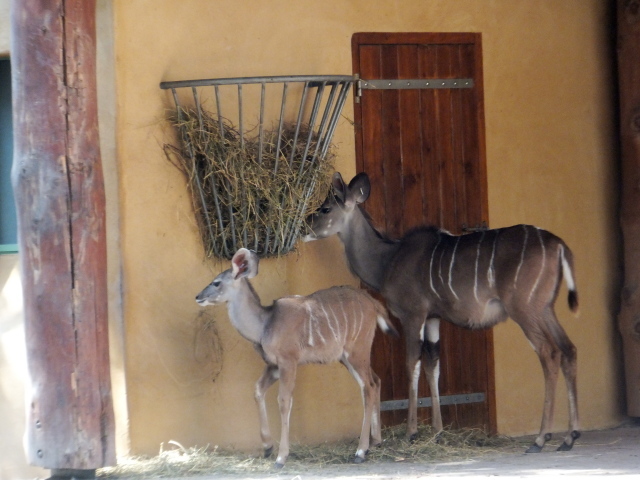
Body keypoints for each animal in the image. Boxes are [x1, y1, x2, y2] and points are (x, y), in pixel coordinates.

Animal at [195, 249, 398, 466]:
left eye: (216, 282)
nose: (198, 296)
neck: (265, 325)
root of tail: (373, 303)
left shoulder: (288, 361)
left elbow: (284, 401)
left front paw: (281, 457)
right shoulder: (273, 365)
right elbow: (258, 390)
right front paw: (267, 447)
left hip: (357, 352)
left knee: (368, 387)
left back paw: (360, 451)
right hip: (348, 358)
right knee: (376, 381)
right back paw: (375, 442)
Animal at [304, 172, 580, 454]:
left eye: (325, 208)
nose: (304, 228)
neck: (388, 260)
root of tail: (559, 246)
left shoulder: (413, 314)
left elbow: (412, 364)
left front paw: (412, 432)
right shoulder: (433, 318)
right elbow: (433, 365)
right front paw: (437, 431)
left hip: (524, 309)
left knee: (549, 353)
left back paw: (541, 439)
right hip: (545, 309)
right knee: (568, 349)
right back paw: (569, 437)